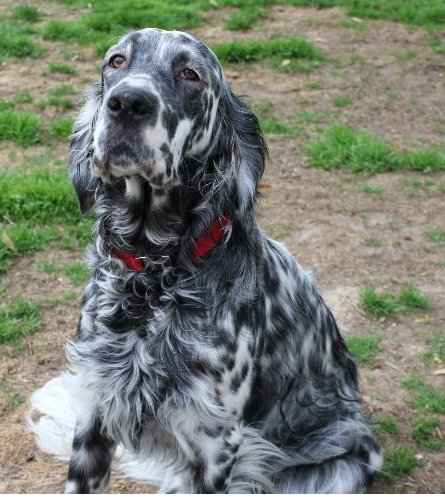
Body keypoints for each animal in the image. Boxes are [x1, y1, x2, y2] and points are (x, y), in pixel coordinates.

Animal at [27, 28, 382, 492]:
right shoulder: (94, 410)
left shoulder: (216, 441)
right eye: (117, 61)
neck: (156, 278)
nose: (127, 102)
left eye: (190, 74)